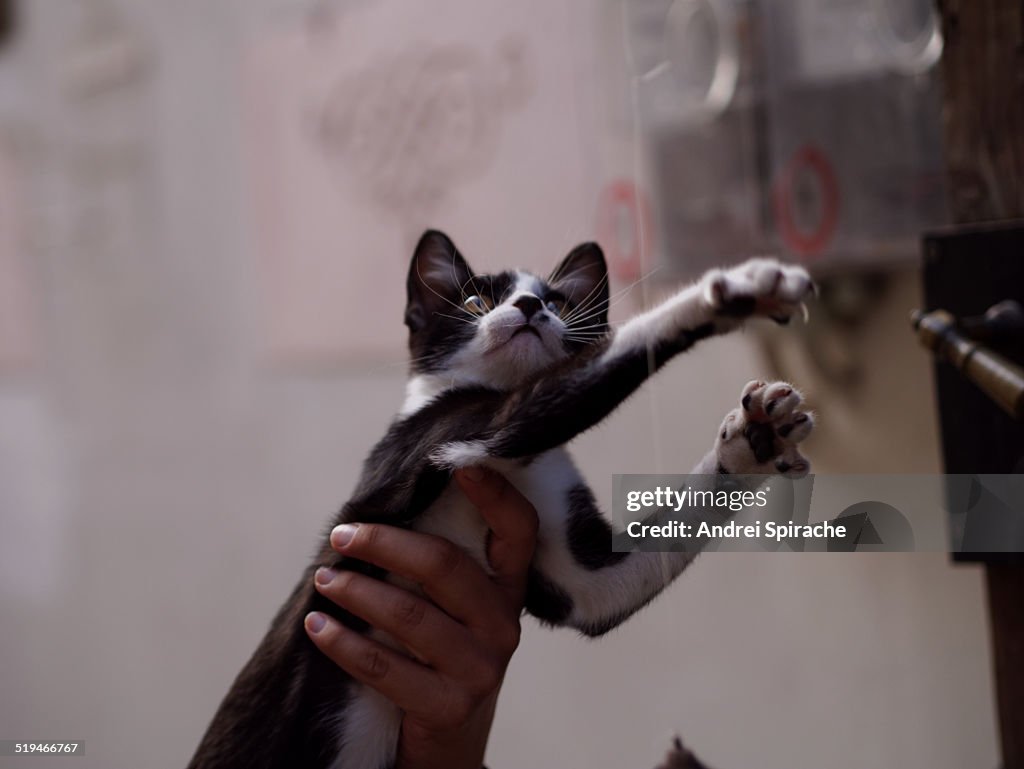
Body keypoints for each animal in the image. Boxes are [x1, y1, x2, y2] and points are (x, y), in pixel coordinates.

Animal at [188, 230, 815, 769]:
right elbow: (608, 352)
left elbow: (616, 579)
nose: (532, 306)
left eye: (559, 300)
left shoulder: (580, 570)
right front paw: (737, 290)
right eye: (474, 299)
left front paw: (752, 444)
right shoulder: (443, 437)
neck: (517, 469)